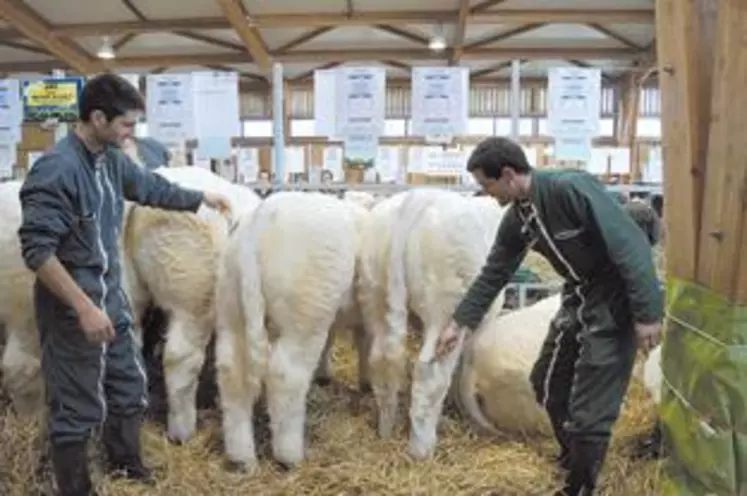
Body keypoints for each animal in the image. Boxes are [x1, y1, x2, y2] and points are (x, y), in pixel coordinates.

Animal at [216, 192, 360, 470]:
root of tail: (258, 221)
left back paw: (242, 458)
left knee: (232, 374)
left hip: (232, 307)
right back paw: (290, 455)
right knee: (286, 377)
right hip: (306, 314)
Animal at [356, 188, 508, 460]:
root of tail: (420, 196)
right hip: (444, 312)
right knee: (429, 373)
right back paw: (422, 449)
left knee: (382, 360)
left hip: (375, 295)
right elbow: (466, 370)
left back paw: (385, 429)